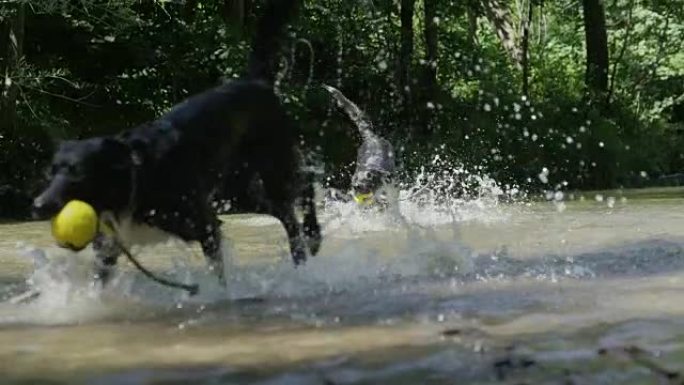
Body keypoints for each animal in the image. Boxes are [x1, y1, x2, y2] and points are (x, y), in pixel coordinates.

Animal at [32, 0, 320, 284]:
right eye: (50, 173)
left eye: (77, 175)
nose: (38, 205)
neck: (138, 176)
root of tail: (257, 82)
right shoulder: (109, 246)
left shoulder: (205, 225)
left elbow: (218, 274)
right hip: (243, 190)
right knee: (287, 215)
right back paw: (300, 258)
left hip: (275, 167)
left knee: (305, 186)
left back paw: (313, 235)